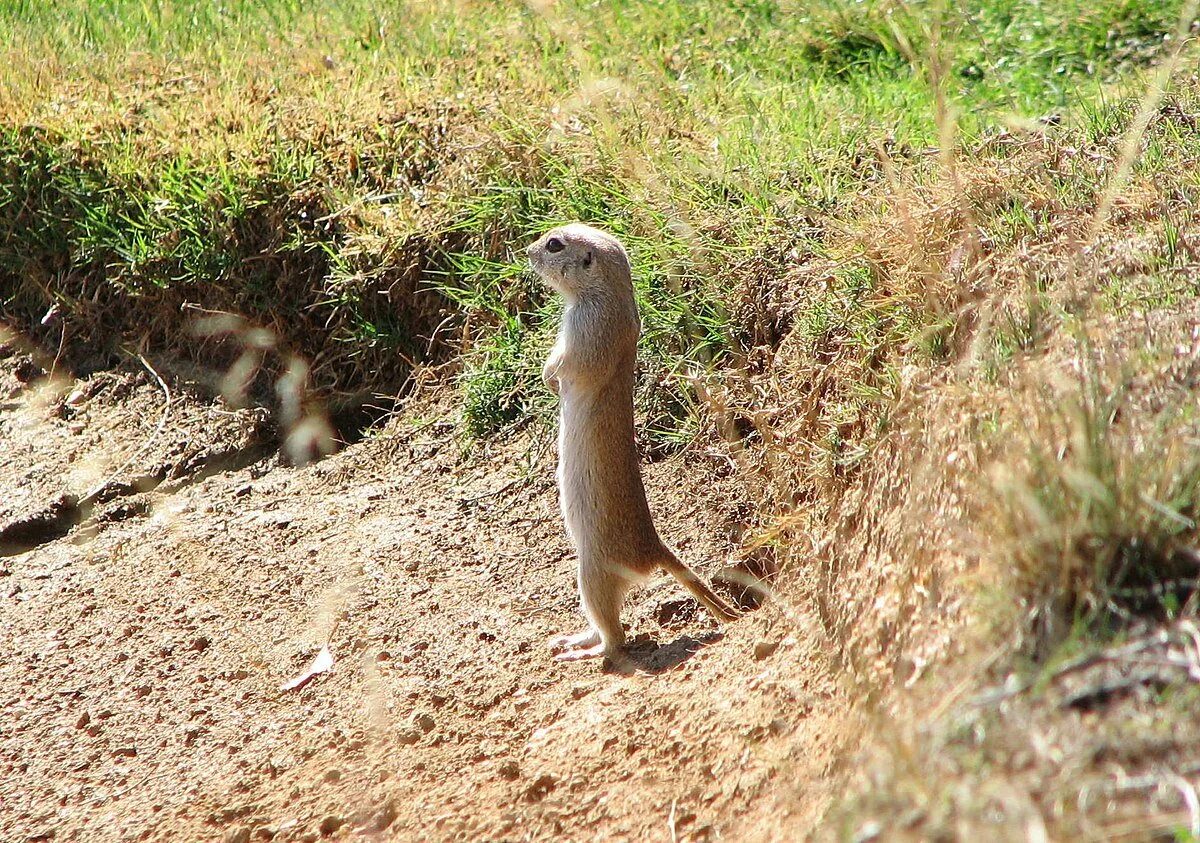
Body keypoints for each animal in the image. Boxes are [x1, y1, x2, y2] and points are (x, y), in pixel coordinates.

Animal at [528, 224, 739, 667]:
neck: (610, 299)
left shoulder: (584, 332)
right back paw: (570, 640)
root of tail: (653, 549)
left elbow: (563, 366)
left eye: (554, 245)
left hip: (592, 570)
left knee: (616, 636)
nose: (526, 251)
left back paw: (583, 653)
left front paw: (548, 378)